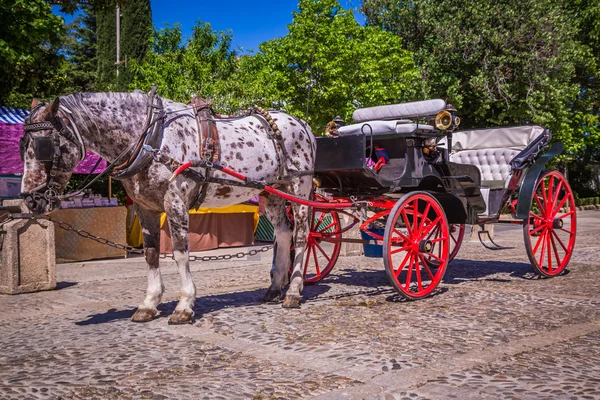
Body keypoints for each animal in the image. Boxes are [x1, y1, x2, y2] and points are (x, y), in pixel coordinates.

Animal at [19, 90, 316, 324]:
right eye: (22, 145)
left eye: (45, 145)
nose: (30, 199)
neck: (152, 139)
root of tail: (301, 122)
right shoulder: (145, 208)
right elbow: (151, 254)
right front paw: (149, 303)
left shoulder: (175, 201)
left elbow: (180, 253)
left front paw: (184, 305)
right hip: (273, 192)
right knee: (283, 233)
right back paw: (275, 287)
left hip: (300, 187)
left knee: (302, 236)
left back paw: (293, 290)